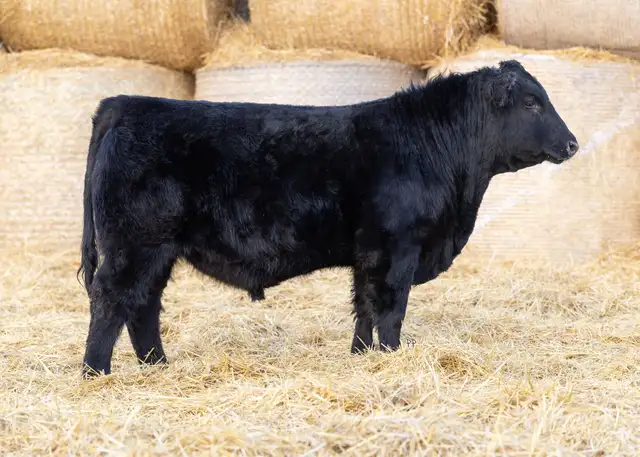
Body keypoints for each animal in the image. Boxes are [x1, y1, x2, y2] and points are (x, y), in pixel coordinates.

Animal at [77, 60, 578, 378]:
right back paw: (95, 373)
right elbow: (390, 309)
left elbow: (363, 307)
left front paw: (361, 357)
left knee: (143, 306)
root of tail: (123, 104)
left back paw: (157, 367)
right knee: (112, 302)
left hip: (157, 252)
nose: (573, 143)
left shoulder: (368, 253)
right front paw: (390, 358)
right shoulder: (398, 249)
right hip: (134, 246)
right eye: (532, 103)